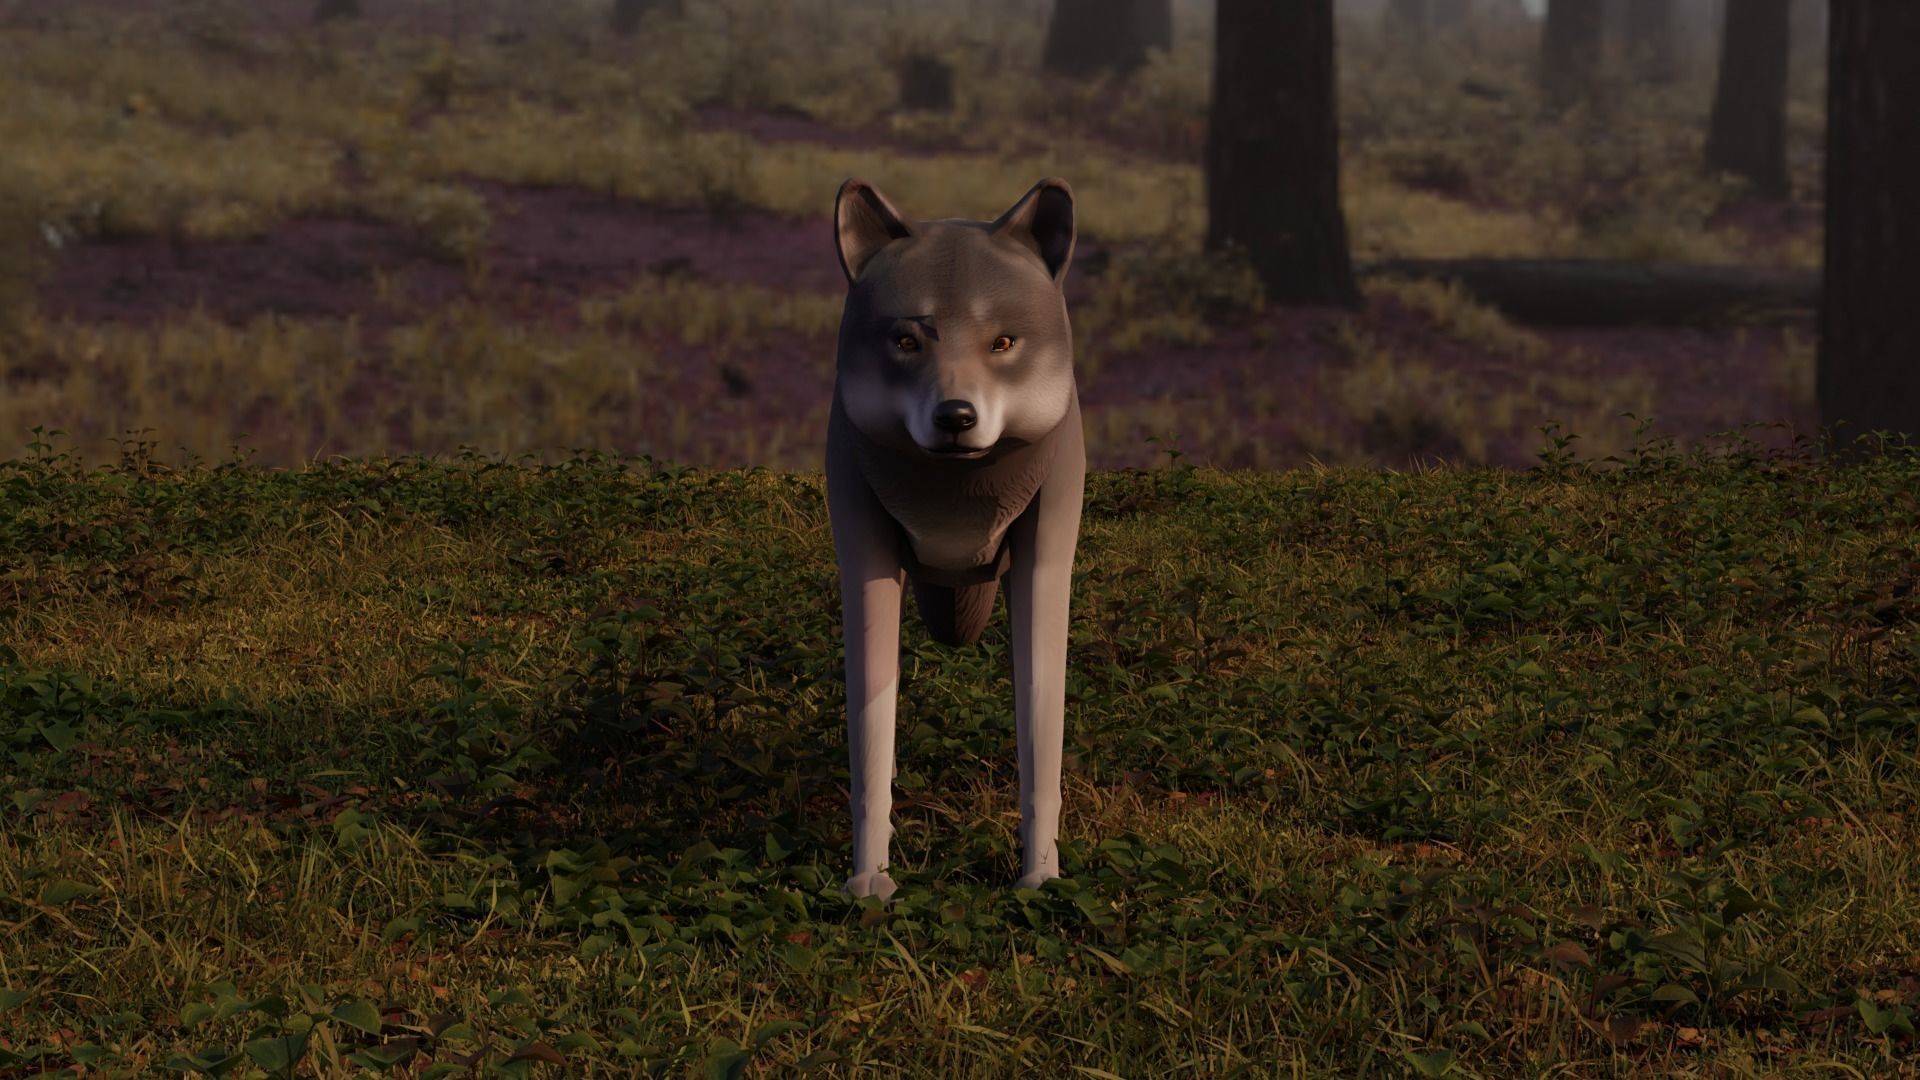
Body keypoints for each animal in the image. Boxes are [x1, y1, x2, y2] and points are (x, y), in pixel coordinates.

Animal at [825, 176, 1086, 902]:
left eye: (1003, 342)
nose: (955, 417)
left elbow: (1040, 733)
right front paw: (870, 882)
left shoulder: (1045, 548)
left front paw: (1040, 877)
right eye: (907, 342)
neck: (957, 492)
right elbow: (870, 739)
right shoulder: (862, 544)